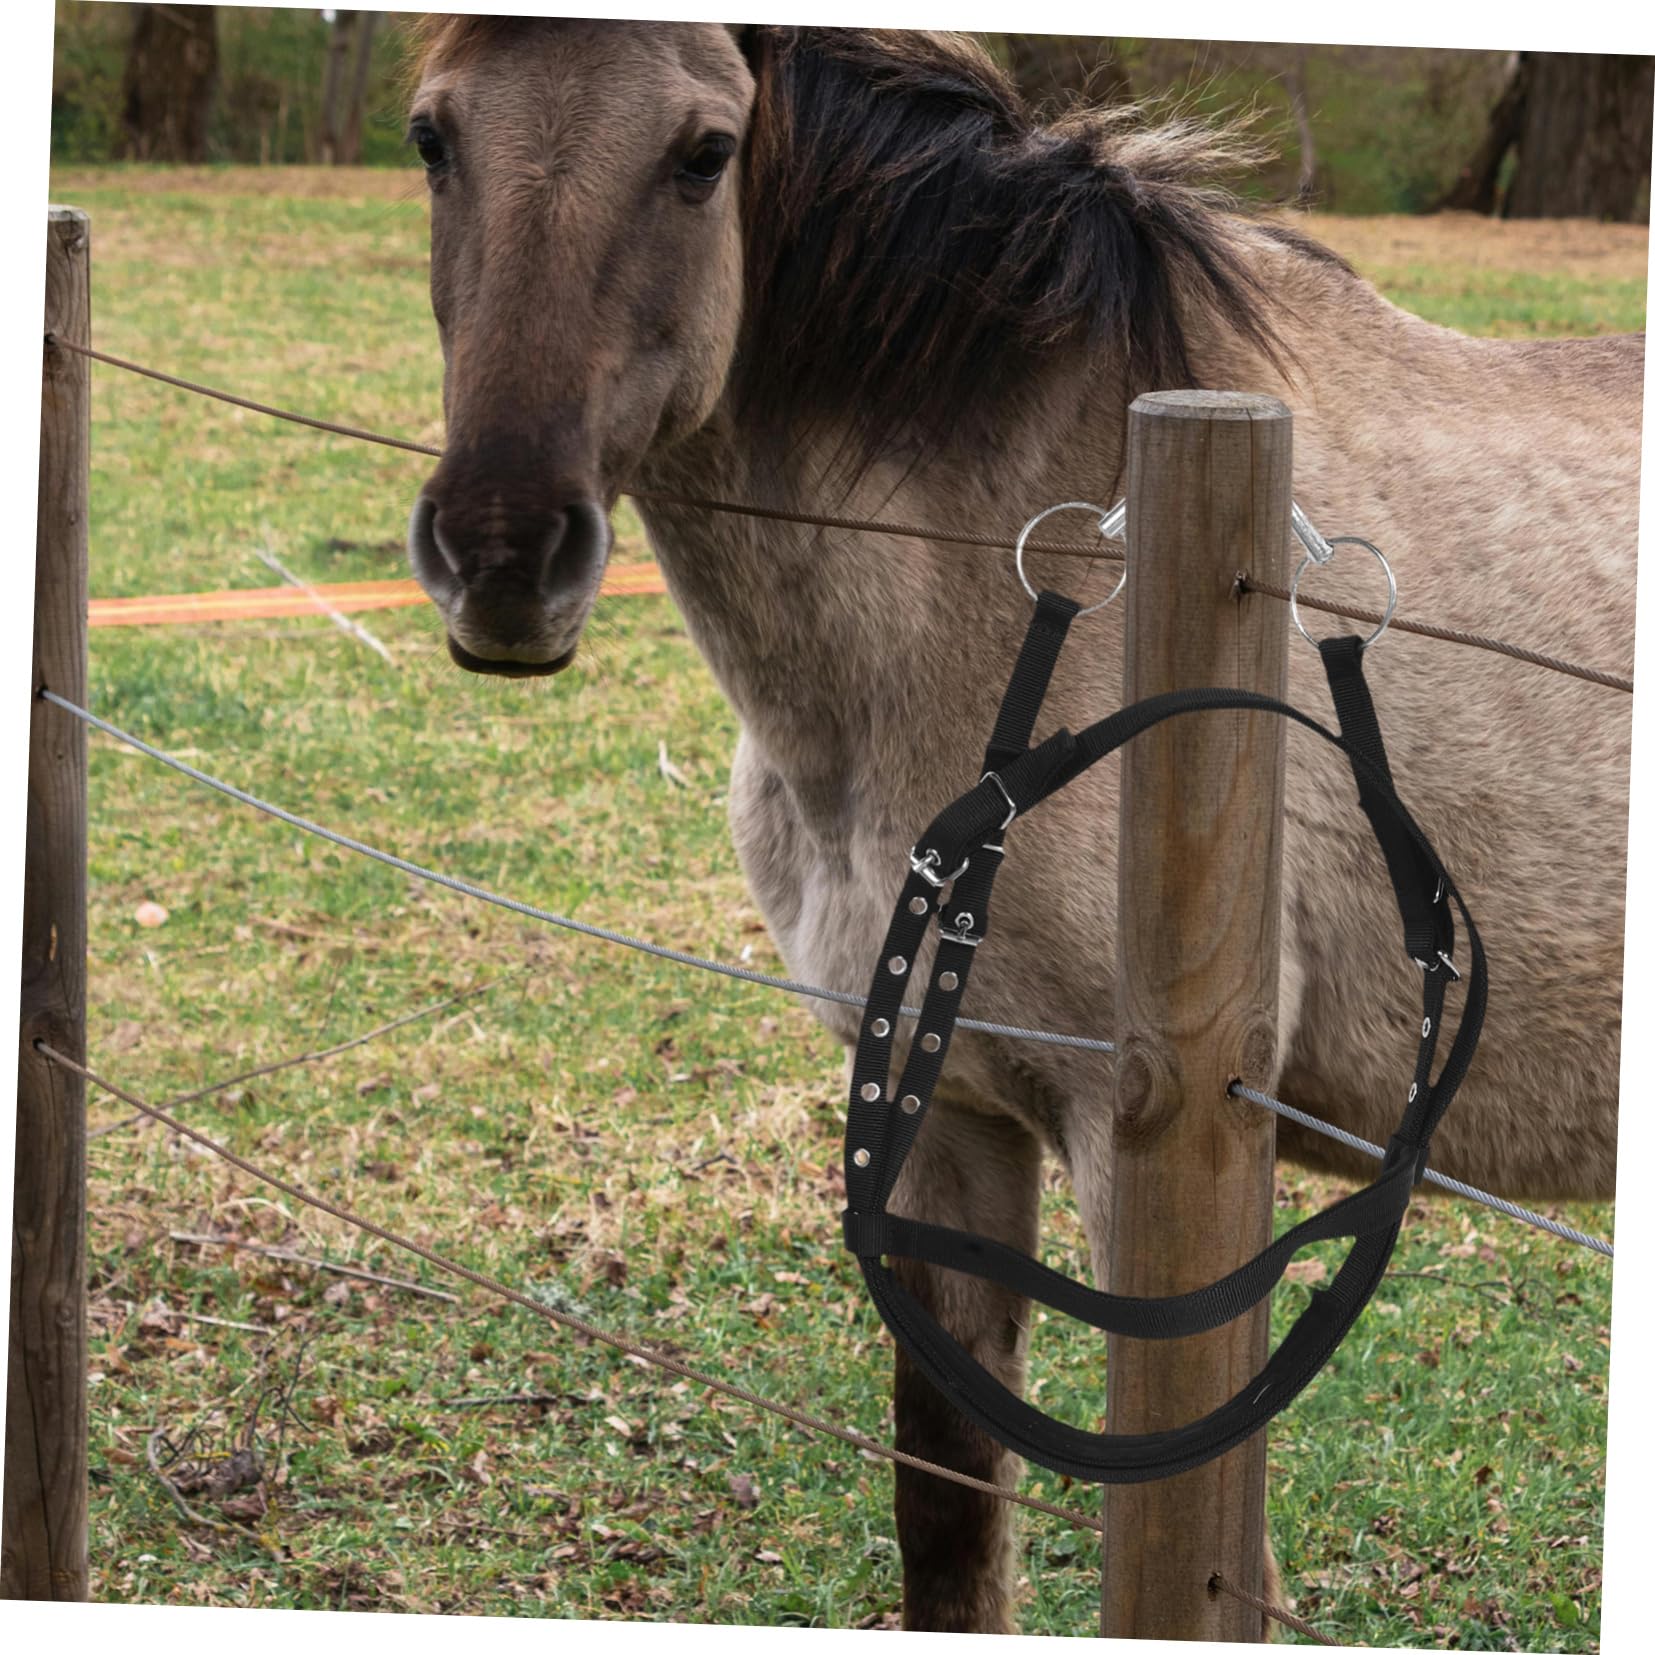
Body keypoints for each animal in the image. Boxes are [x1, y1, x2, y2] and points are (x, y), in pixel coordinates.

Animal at [402, 19, 1639, 1635]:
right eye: (431, 135)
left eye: (703, 153)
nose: (500, 555)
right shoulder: (948, 1120)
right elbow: (947, 1506)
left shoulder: (1149, 1150)